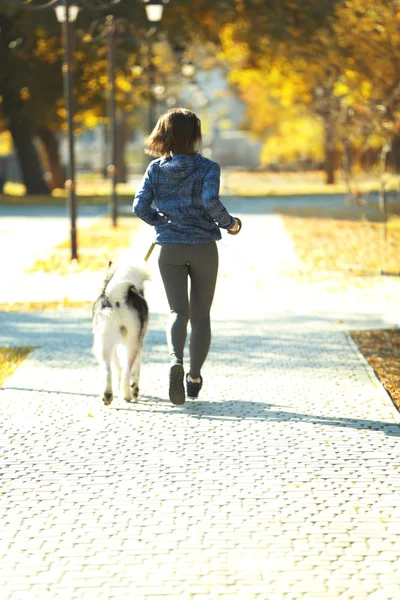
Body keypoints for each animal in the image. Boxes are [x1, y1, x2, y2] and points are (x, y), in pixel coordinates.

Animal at [93, 262, 149, 406]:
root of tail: (117, 299)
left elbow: (117, 367)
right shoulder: (140, 343)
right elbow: (136, 369)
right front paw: (134, 389)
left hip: (103, 344)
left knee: (108, 370)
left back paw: (107, 395)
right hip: (132, 344)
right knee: (127, 371)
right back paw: (127, 395)